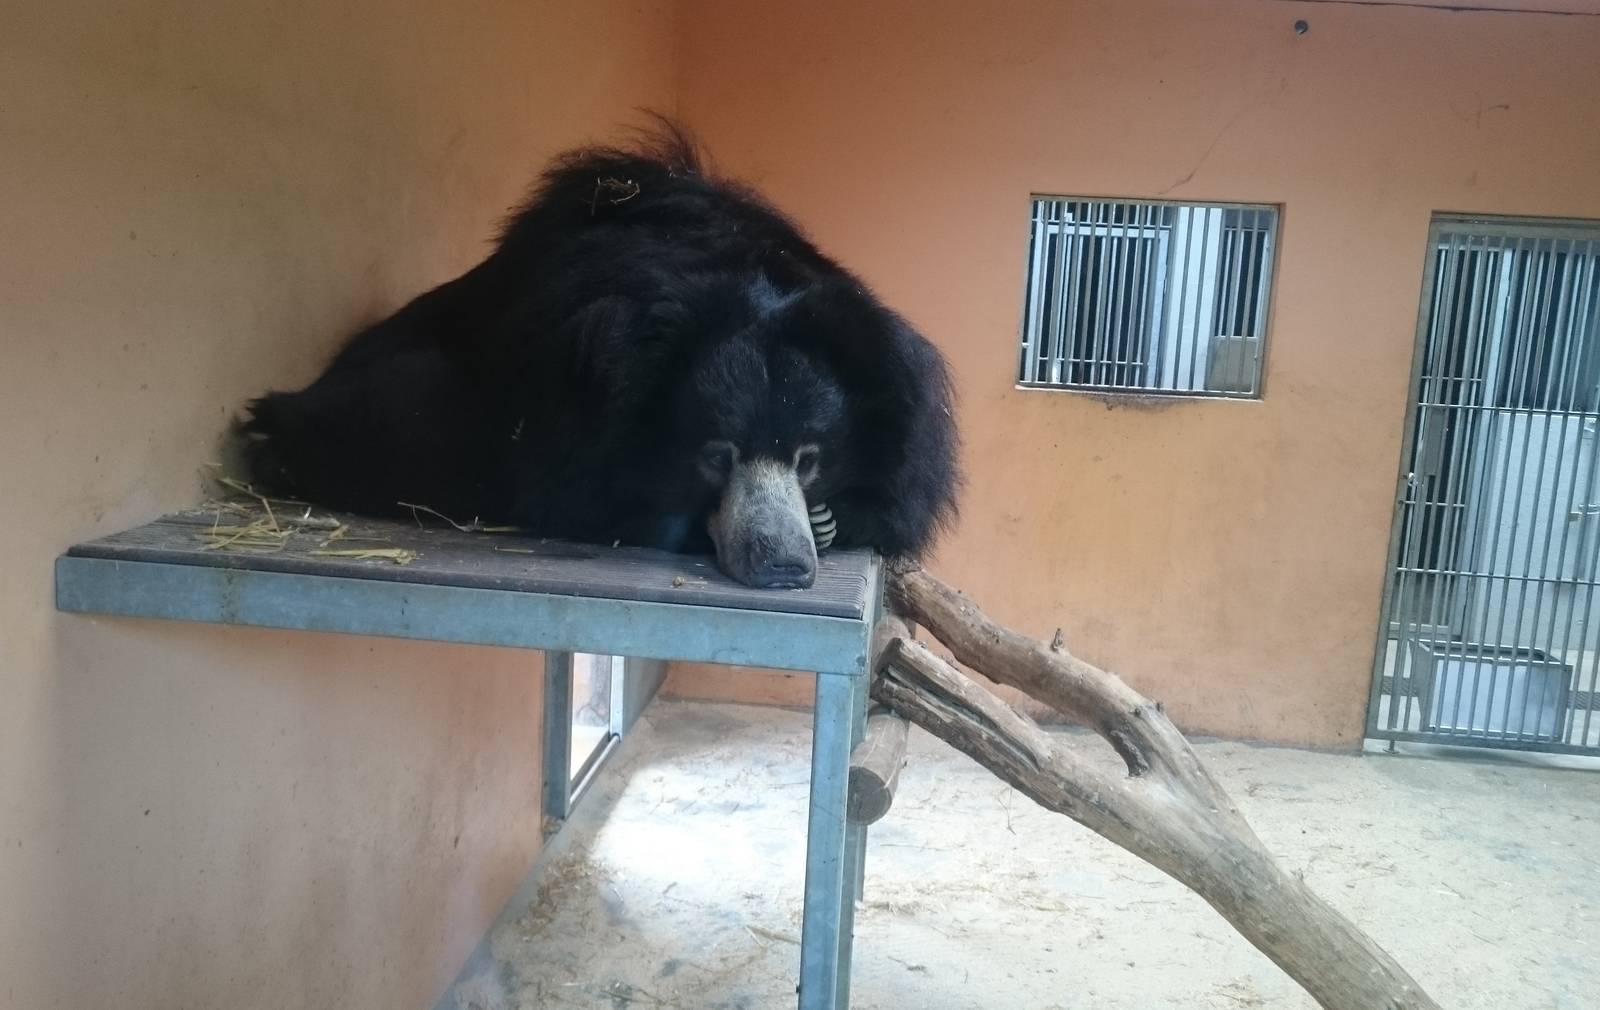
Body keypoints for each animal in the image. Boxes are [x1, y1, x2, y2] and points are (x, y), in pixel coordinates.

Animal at [236, 121, 959, 589]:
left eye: (809, 458)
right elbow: (579, 494)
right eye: (715, 454)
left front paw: (834, 519)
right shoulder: (560, 392)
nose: (784, 564)